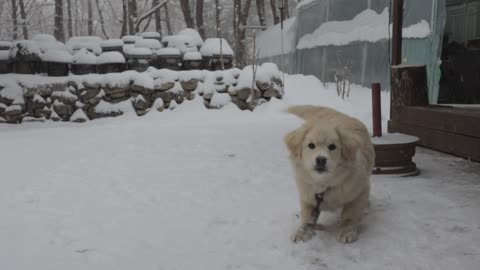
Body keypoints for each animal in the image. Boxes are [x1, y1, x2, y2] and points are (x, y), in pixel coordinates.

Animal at [284, 105, 376, 245]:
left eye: (332, 147)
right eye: (311, 145)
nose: (321, 159)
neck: (324, 183)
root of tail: (343, 116)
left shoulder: (359, 191)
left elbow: (350, 214)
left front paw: (347, 231)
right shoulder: (307, 195)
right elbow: (307, 216)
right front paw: (302, 231)